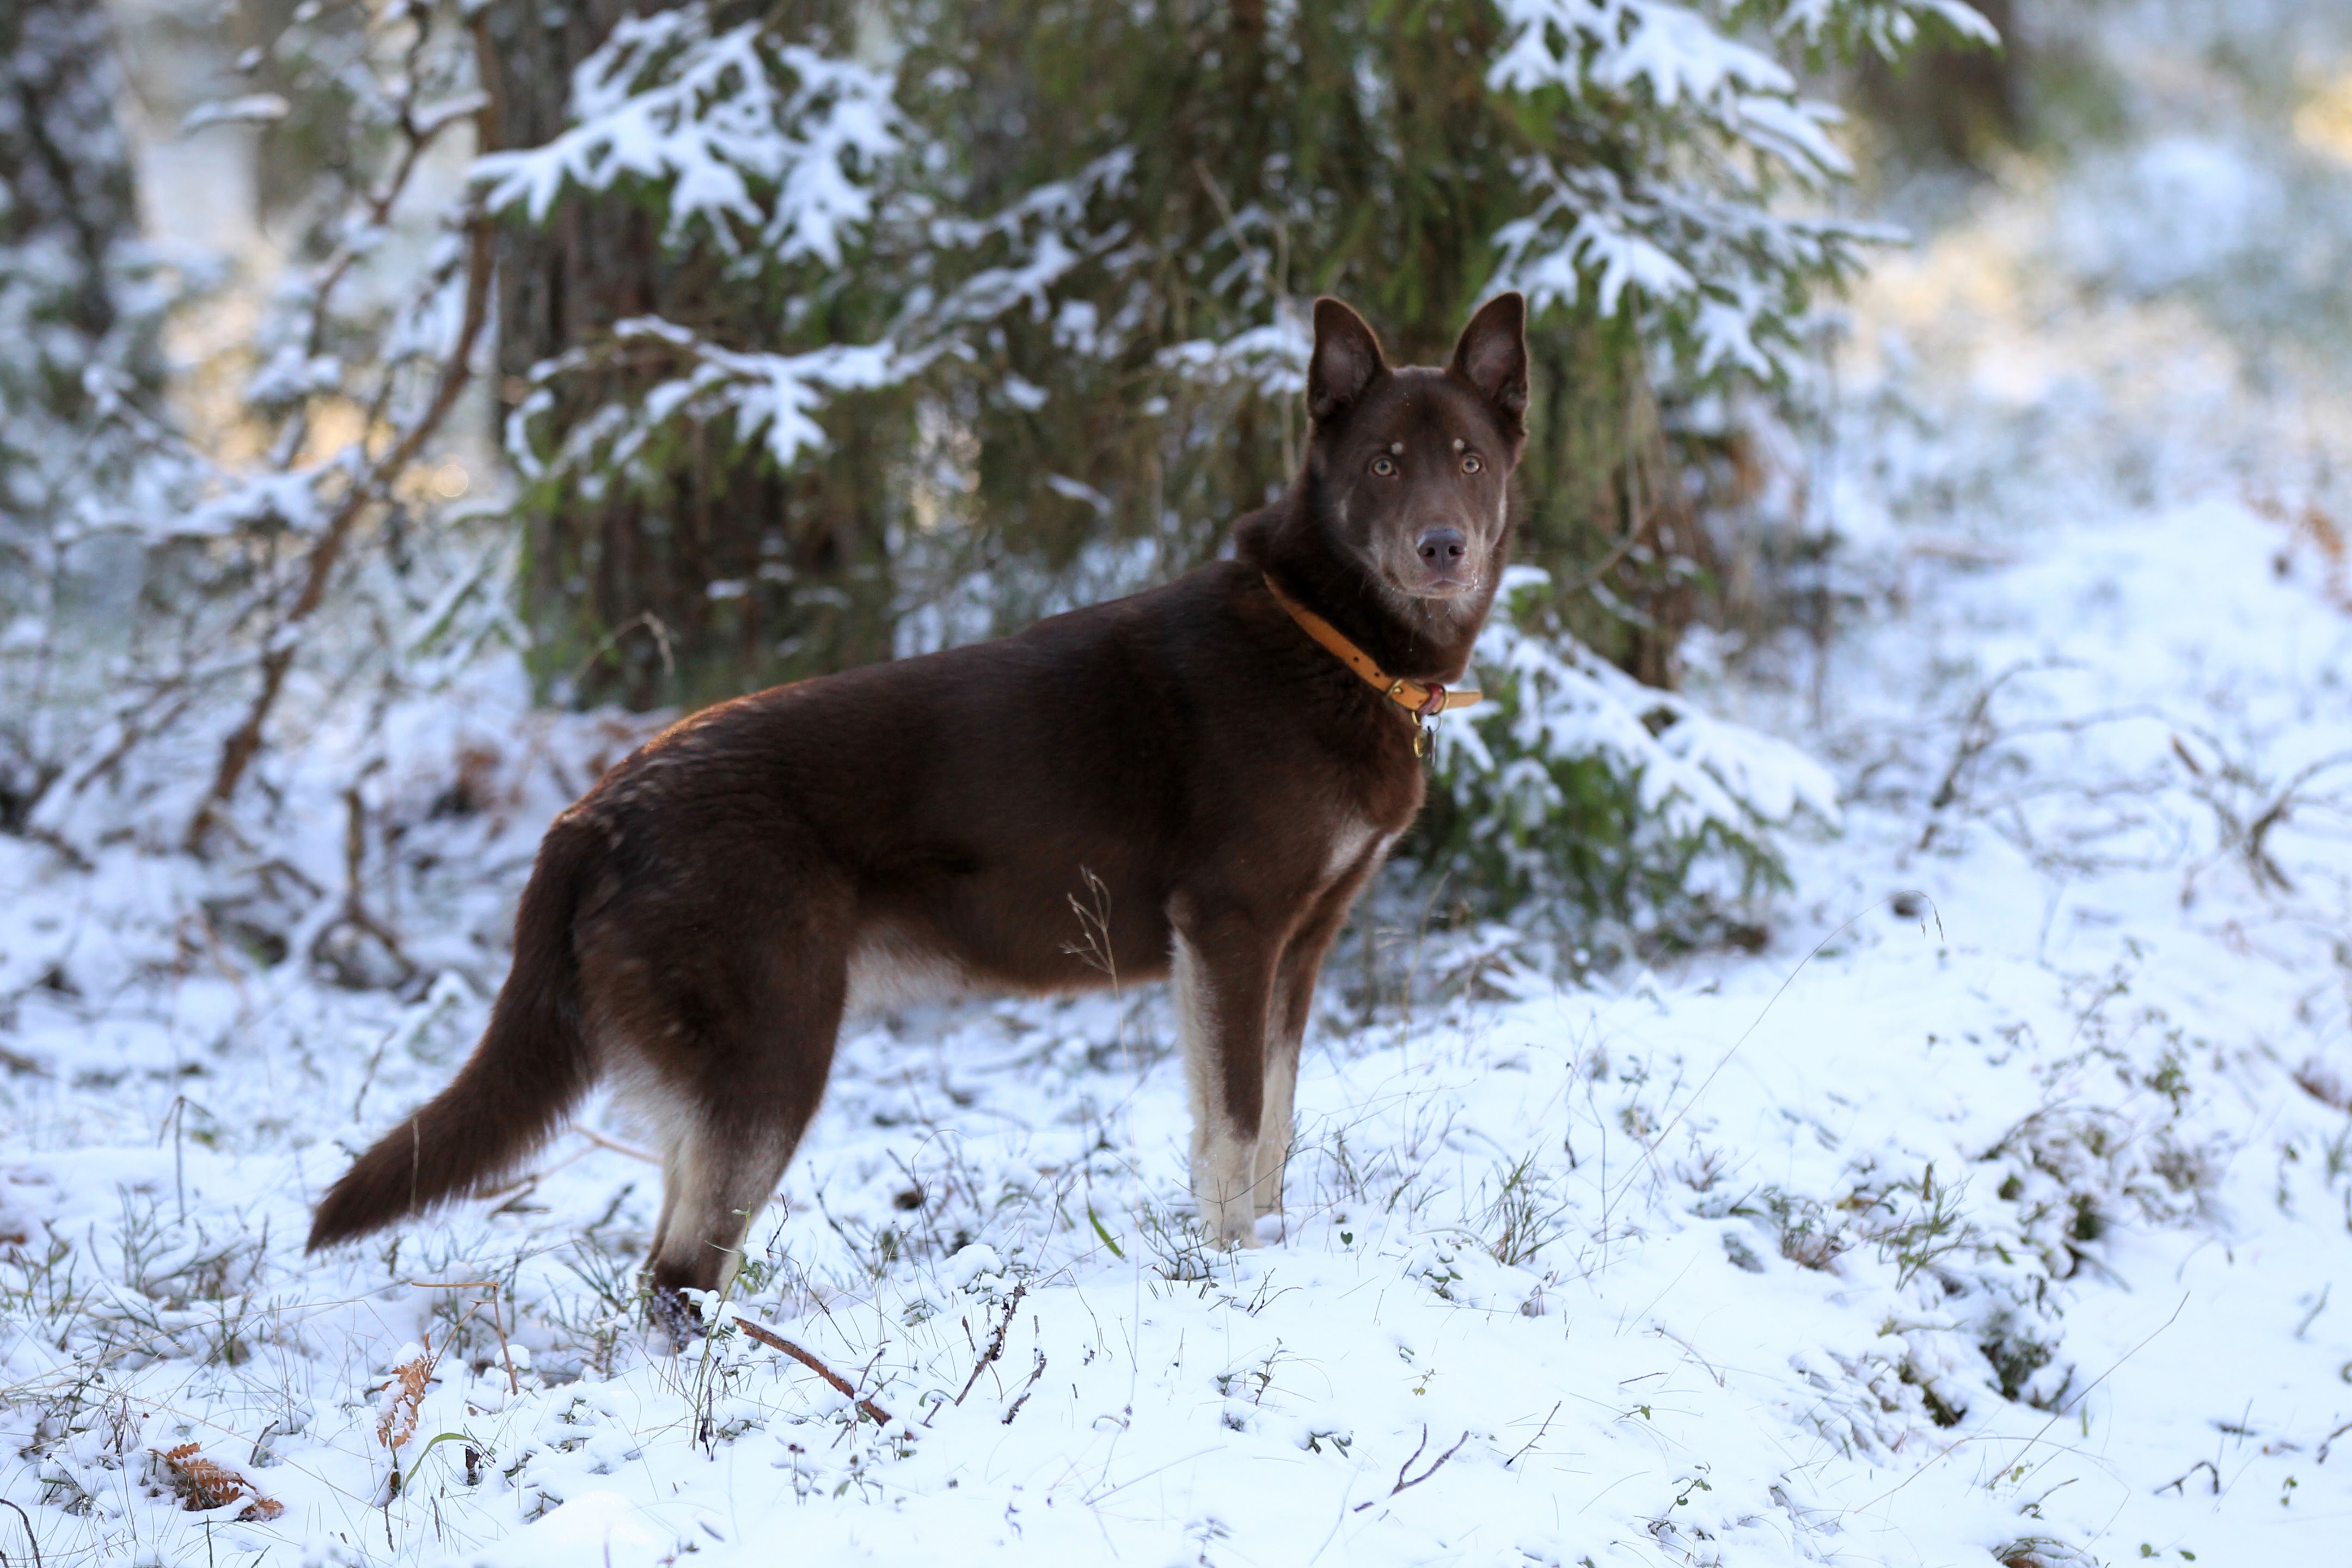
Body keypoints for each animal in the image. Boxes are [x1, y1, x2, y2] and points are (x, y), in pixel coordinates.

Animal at [308, 293, 1524, 1326]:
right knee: (677, 1278)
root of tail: (594, 815)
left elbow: (1273, 1128)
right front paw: (1233, 1279)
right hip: (773, 1062)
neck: (1328, 636)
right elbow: (1230, 1131)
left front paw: (1271, 1253)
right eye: (1383, 463)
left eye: (1467, 459)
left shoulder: (1298, 949)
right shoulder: (1227, 935)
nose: (1442, 547)